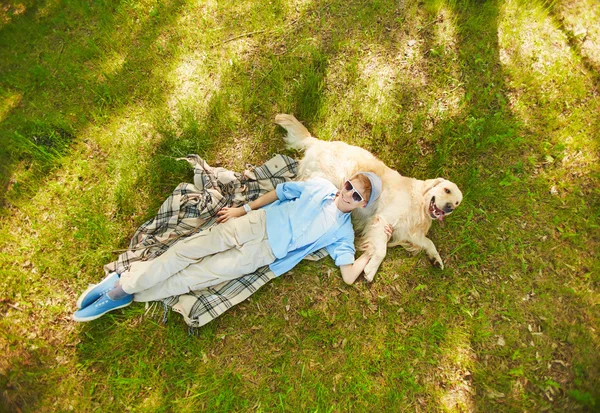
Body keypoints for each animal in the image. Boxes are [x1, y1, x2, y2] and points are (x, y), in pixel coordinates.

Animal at [276, 112, 464, 282]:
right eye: (447, 190)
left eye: (457, 203)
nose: (449, 208)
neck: (419, 204)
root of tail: (320, 142)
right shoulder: (383, 219)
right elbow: (381, 250)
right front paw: (371, 270)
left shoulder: (406, 232)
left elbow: (428, 242)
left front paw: (436, 258)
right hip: (329, 178)